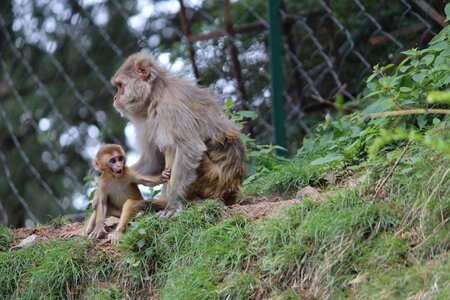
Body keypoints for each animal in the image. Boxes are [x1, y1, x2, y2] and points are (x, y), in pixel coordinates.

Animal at [111, 51, 246, 216]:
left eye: (120, 86)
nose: (115, 97)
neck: (155, 94)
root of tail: (234, 187)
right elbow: (154, 160)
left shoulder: (169, 108)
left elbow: (190, 148)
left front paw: (173, 204)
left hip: (214, 181)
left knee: (171, 146)